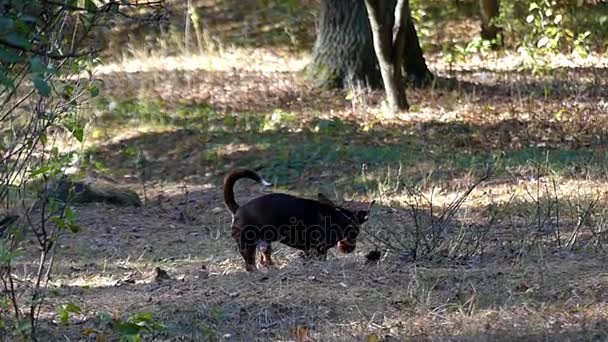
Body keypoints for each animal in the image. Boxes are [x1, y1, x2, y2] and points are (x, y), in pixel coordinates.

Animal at [224, 169, 376, 272]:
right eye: (355, 233)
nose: (350, 249)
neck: (337, 218)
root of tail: (238, 208)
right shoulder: (320, 249)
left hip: (265, 243)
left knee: (265, 256)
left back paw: (272, 267)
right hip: (247, 242)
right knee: (249, 261)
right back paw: (255, 271)